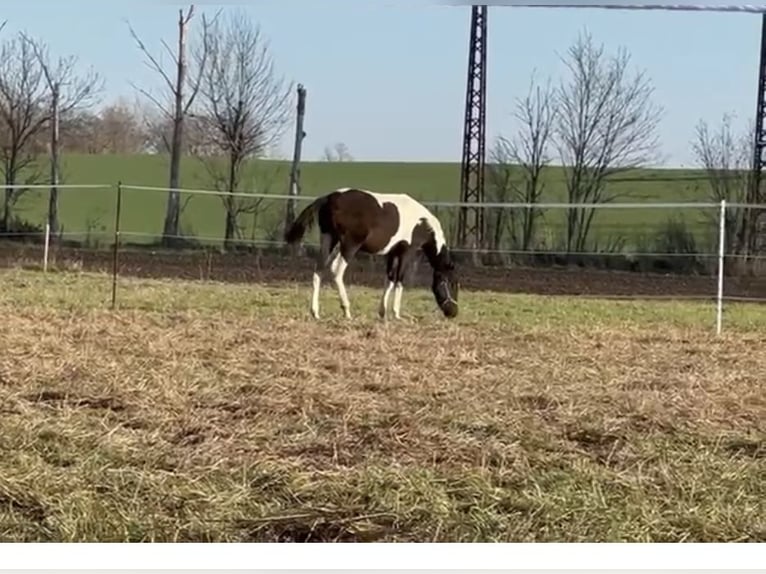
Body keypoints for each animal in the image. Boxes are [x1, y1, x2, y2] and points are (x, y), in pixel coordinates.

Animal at [284, 190, 460, 322]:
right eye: (451, 284)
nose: (453, 312)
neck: (422, 223)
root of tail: (330, 198)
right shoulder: (406, 251)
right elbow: (399, 279)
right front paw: (397, 314)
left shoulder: (391, 253)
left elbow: (389, 279)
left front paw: (383, 312)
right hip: (349, 245)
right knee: (336, 270)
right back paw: (347, 311)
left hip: (328, 239)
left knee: (319, 270)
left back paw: (315, 312)